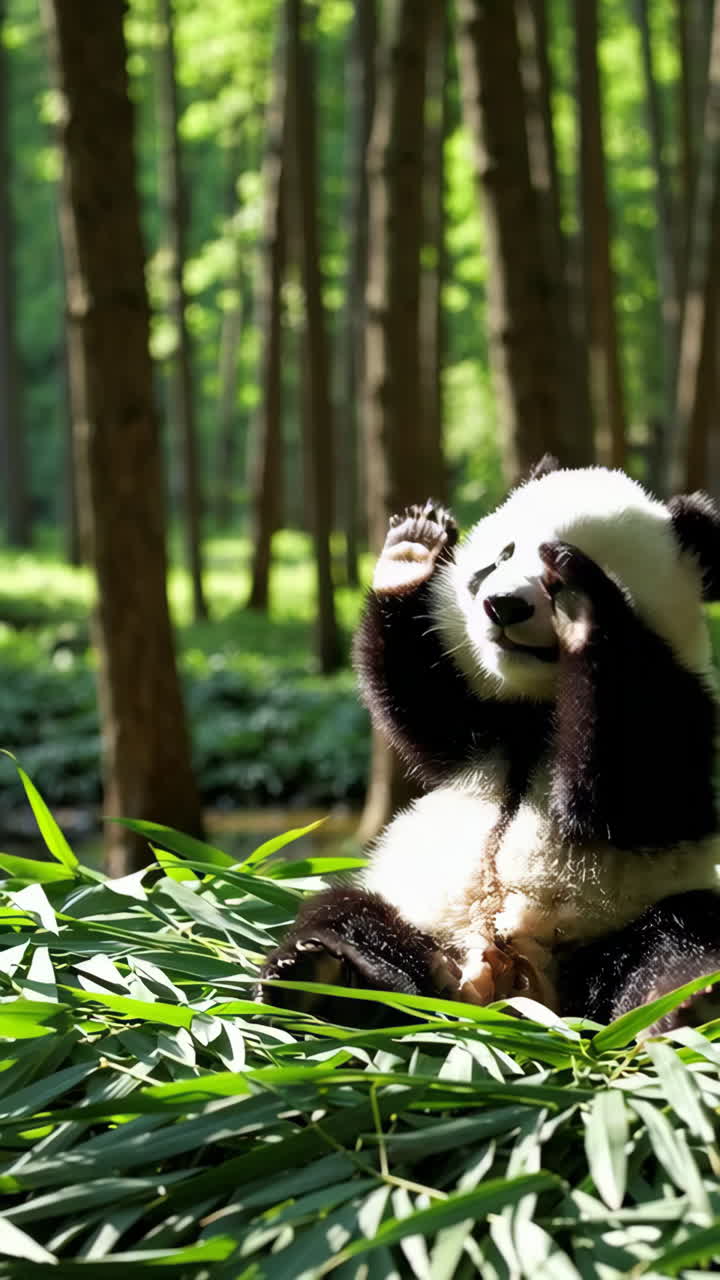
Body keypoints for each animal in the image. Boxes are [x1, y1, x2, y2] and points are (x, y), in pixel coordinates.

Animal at [261, 457, 720, 1030]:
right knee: (347, 914)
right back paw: (326, 981)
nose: (502, 605)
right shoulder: (483, 726)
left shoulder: (683, 706)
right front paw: (413, 550)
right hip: (414, 908)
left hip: (614, 927)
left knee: (677, 937)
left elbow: (627, 789)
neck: (539, 703)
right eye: (502, 555)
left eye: (552, 573)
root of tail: (499, 987)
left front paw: (585, 606)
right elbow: (420, 710)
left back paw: (687, 1005)